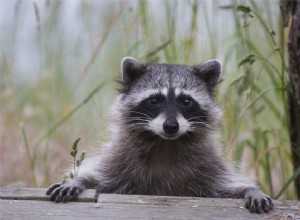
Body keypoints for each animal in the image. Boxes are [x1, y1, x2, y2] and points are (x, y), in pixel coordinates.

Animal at [46, 56, 272, 213]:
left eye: (186, 101)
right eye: (154, 100)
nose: (171, 126)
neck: (165, 143)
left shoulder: (207, 165)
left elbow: (224, 188)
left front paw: (249, 189)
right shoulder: (120, 158)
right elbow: (101, 177)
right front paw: (78, 180)